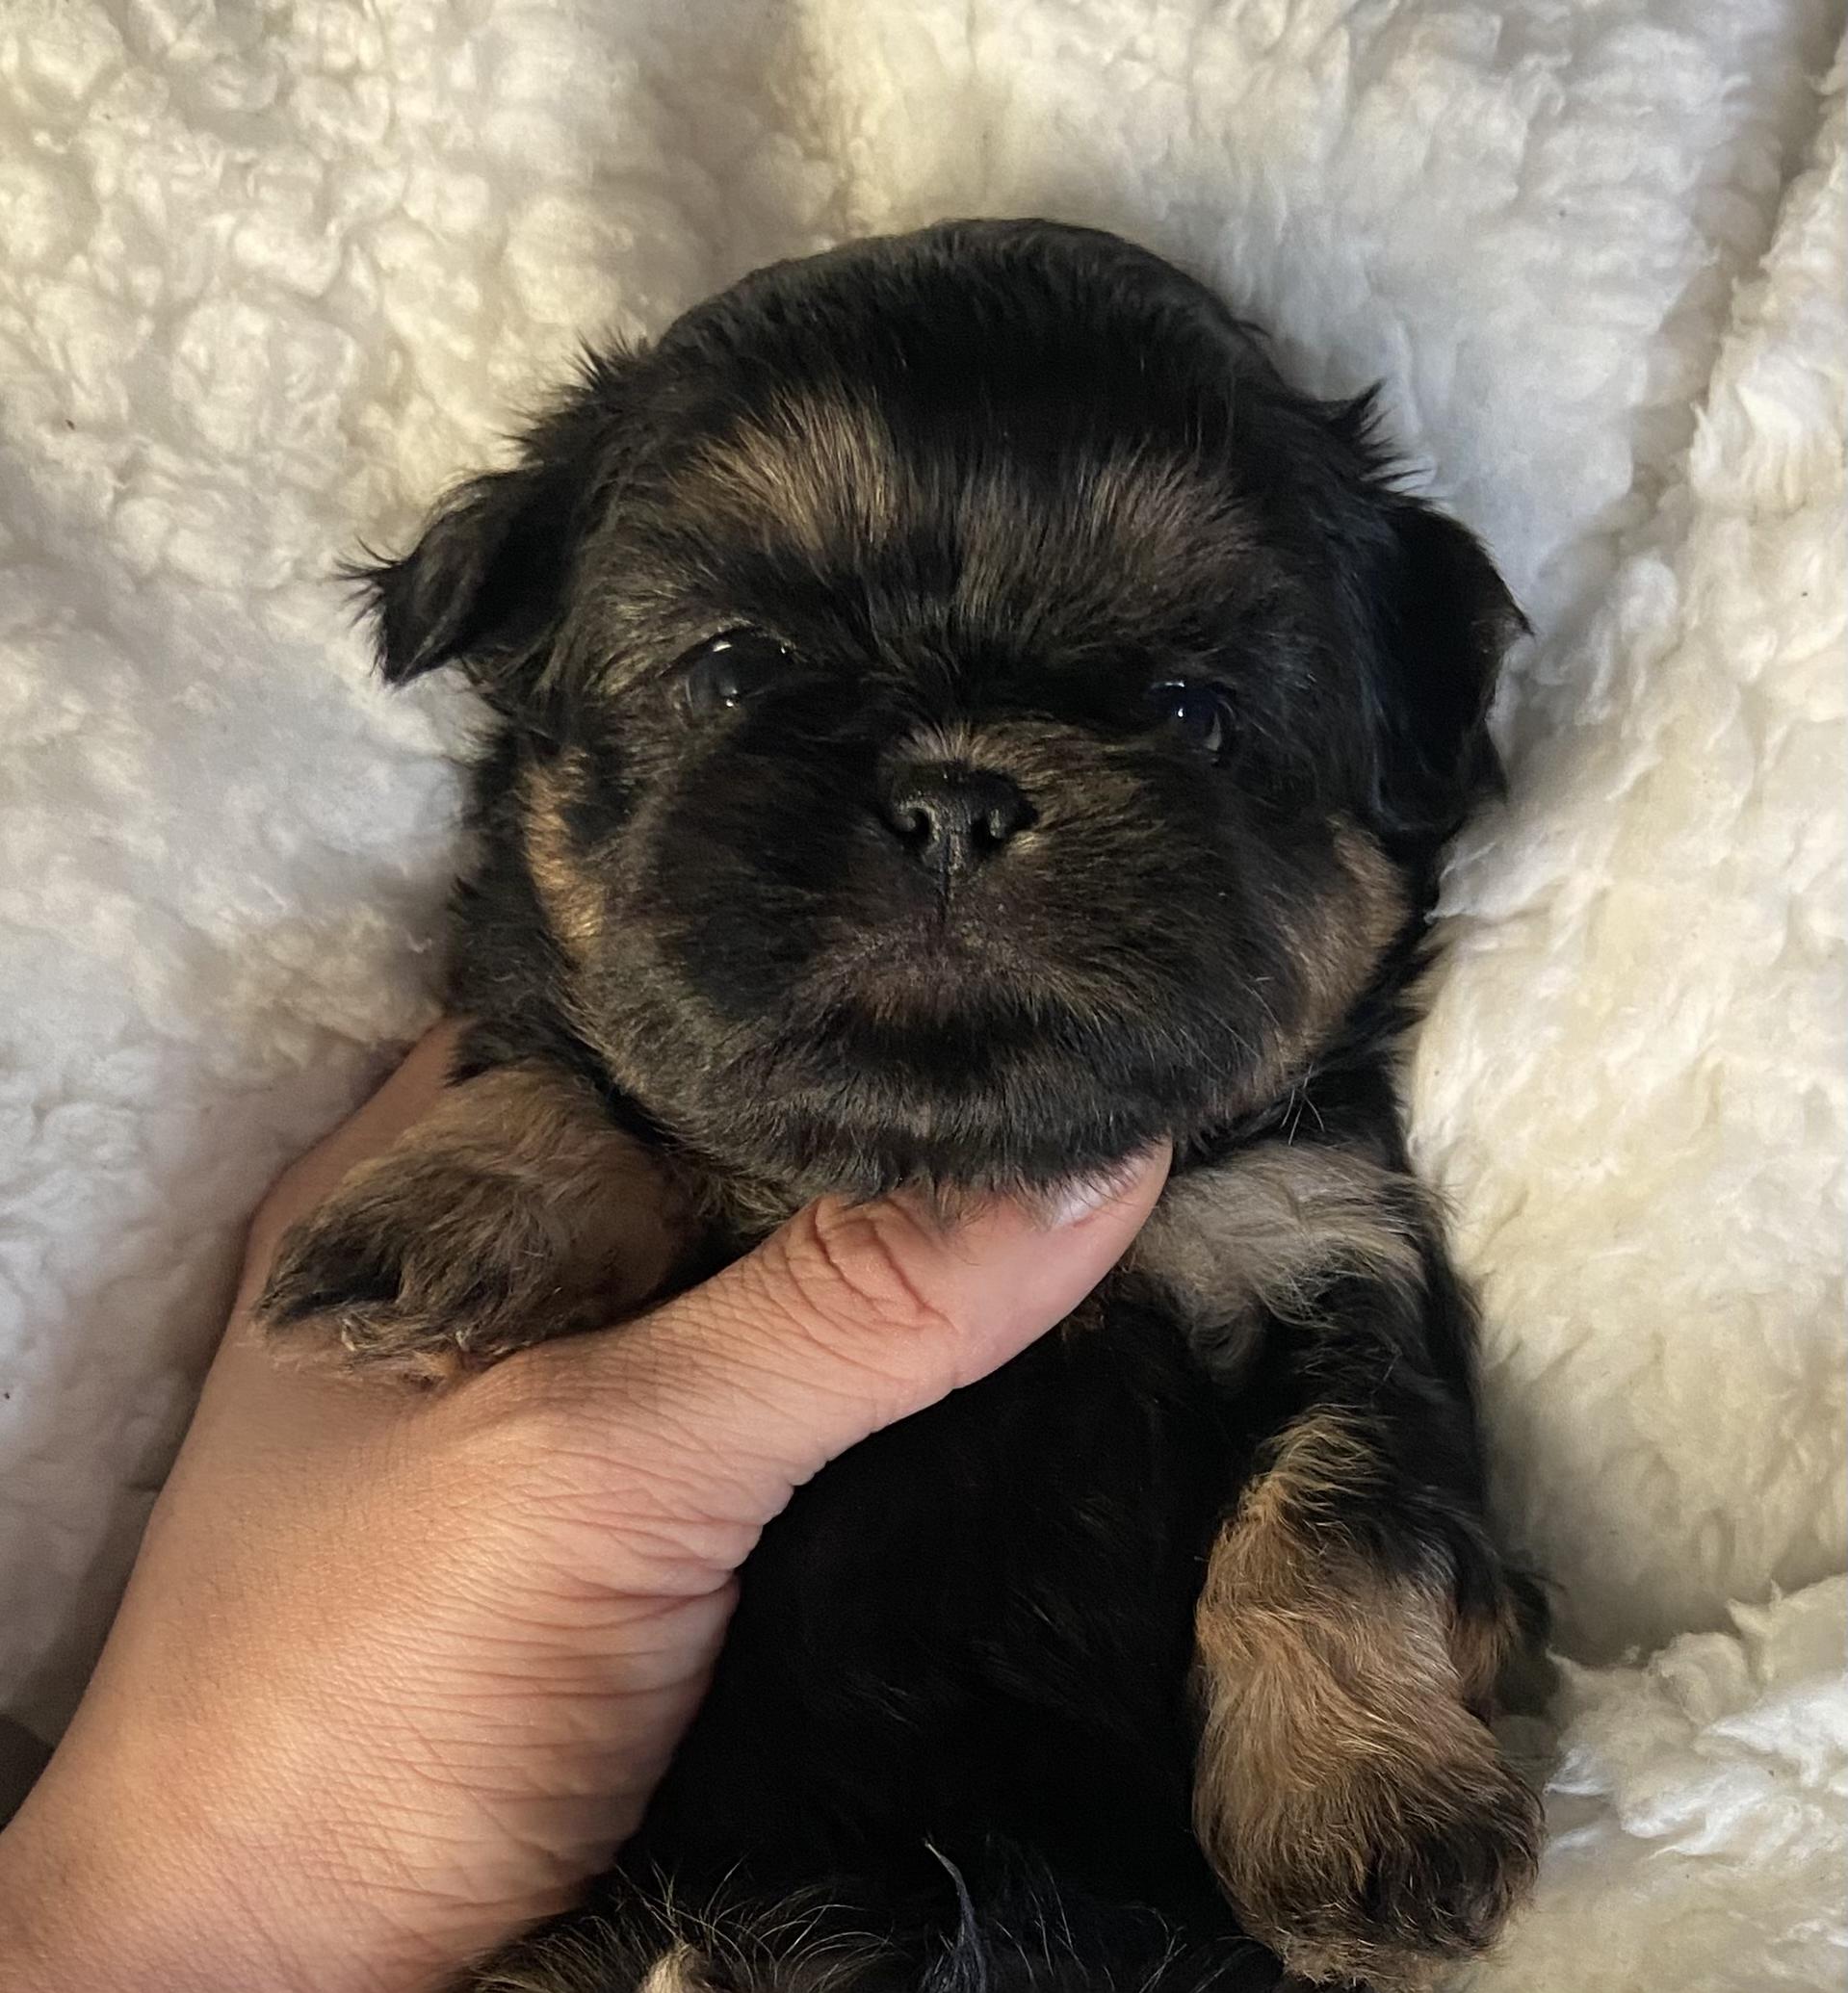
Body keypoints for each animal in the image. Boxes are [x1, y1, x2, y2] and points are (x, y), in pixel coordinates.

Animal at [257, 219, 1546, 1992]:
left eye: (1189, 711)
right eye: (736, 670)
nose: (954, 793)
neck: (928, 1170)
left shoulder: (1326, 1247)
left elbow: (1339, 1511)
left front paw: (1362, 1811)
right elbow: (569, 1073)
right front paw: (458, 1210)